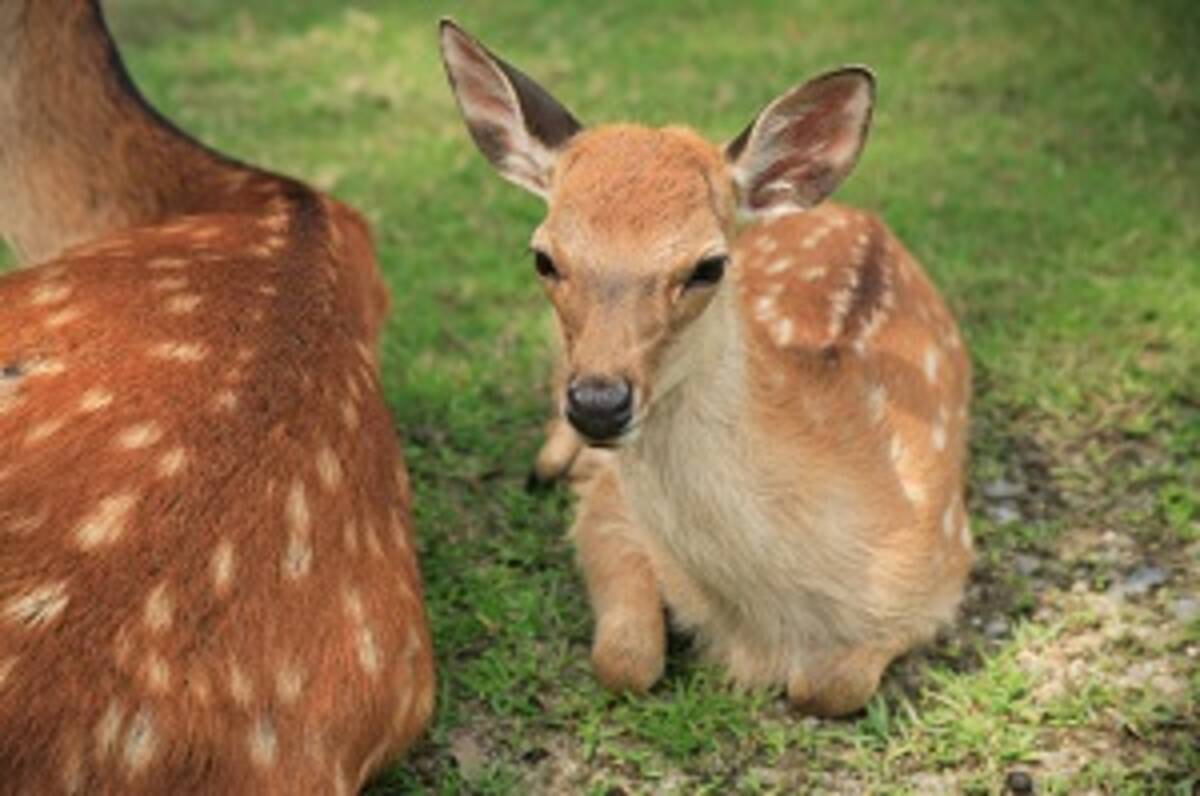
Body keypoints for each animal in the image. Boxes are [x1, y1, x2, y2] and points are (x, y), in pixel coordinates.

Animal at [444, 20, 974, 715]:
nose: (599, 404)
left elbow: (828, 686)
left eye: (708, 265)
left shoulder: (943, 568)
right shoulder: (613, 510)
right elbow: (625, 658)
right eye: (544, 257)